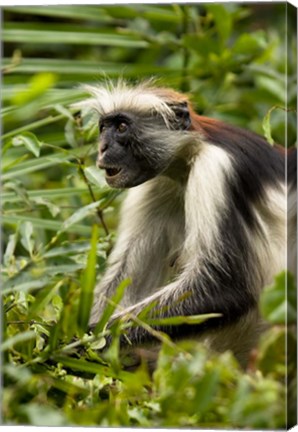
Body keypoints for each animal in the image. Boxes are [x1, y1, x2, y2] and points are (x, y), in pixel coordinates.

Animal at [77, 79, 296, 366]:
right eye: (104, 128)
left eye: (122, 127)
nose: (102, 148)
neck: (193, 151)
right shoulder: (158, 183)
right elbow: (124, 279)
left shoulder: (215, 168)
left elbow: (226, 288)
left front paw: (83, 342)